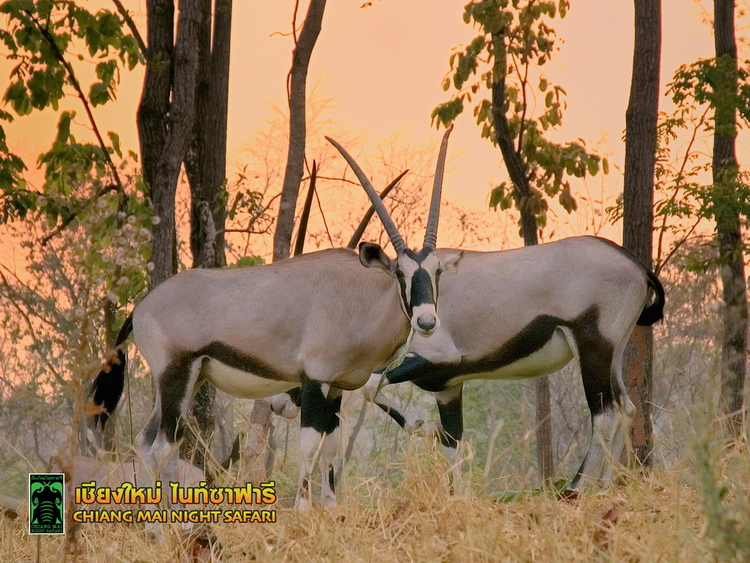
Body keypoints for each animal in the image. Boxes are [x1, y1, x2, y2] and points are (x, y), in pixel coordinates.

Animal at [90, 128, 462, 512]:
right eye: (401, 273)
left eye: (436, 272)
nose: (426, 321)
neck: (359, 297)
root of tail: (140, 307)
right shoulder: (314, 379)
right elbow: (310, 445)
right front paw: (303, 509)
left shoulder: (335, 386)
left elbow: (330, 445)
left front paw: (330, 509)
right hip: (175, 375)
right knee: (164, 446)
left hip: (186, 379)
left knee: (145, 442)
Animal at [362, 238, 668, 494]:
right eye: (400, 273)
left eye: (435, 272)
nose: (426, 322)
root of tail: (638, 268)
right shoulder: (447, 386)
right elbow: (452, 439)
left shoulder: (431, 359)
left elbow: (369, 385)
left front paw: (422, 425)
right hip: (613, 353)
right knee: (625, 407)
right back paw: (604, 486)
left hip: (593, 350)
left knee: (606, 414)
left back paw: (575, 488)